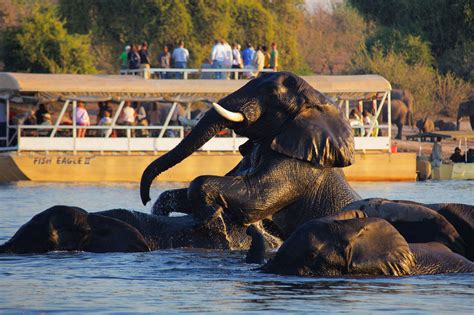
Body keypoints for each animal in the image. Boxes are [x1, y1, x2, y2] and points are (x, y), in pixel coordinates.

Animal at [141, 72, 360, 239]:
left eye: (272, 94)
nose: (145, 199)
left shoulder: (299, 166)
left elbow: (256, 197)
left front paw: (212, 217)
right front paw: (161, 210)